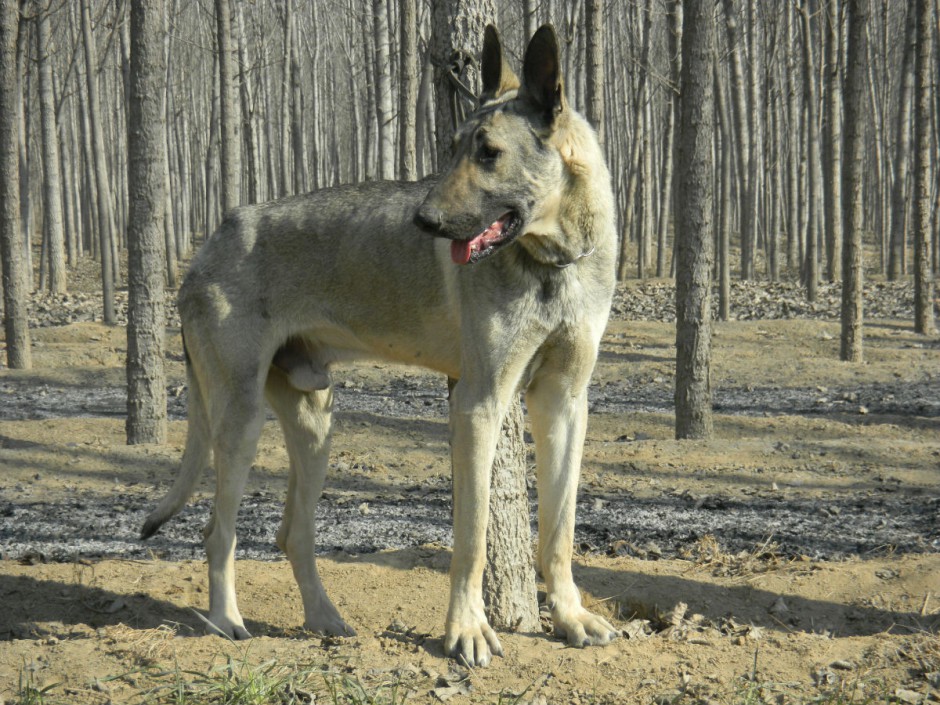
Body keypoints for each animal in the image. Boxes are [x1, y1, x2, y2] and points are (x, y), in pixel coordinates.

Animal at [141, 24, 616, 664]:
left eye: (489, 152)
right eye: (452, 148)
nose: (424, 221)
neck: (553, 262)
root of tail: (205, 248)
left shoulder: (564, 403)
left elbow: (559, 530)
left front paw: (568, 617)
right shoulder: (479, 404)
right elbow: (471, 538)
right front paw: (467, 630)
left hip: (315, 422)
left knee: (293, 534)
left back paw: (325, 620)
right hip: (241, 420)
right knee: (219, 532)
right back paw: (227, 621)